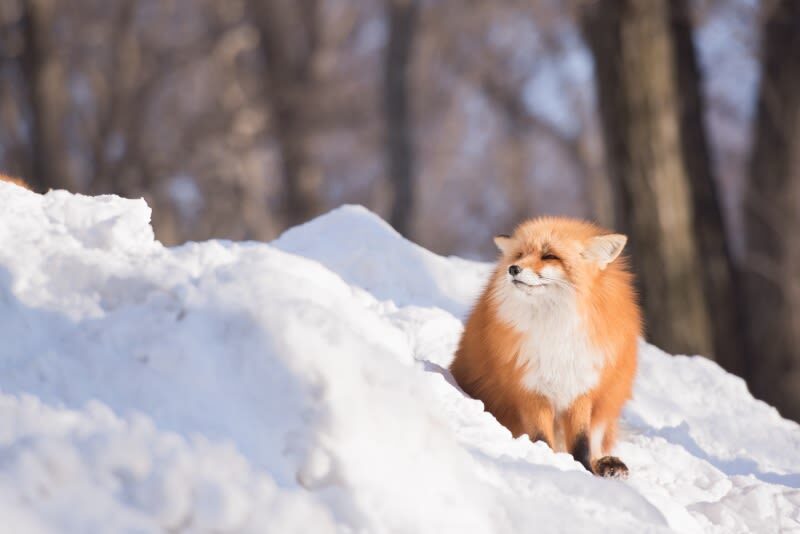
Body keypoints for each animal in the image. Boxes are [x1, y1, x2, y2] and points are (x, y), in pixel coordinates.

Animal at [450, 216, 640, 478]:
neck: (554, 329)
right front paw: (547, 461)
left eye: (550, 256)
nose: (513, 269)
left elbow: (581, 442)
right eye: (519, 254)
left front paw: (585, 470)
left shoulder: (579, 389)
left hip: (608, 403)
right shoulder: (530, 389)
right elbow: (541, 438)